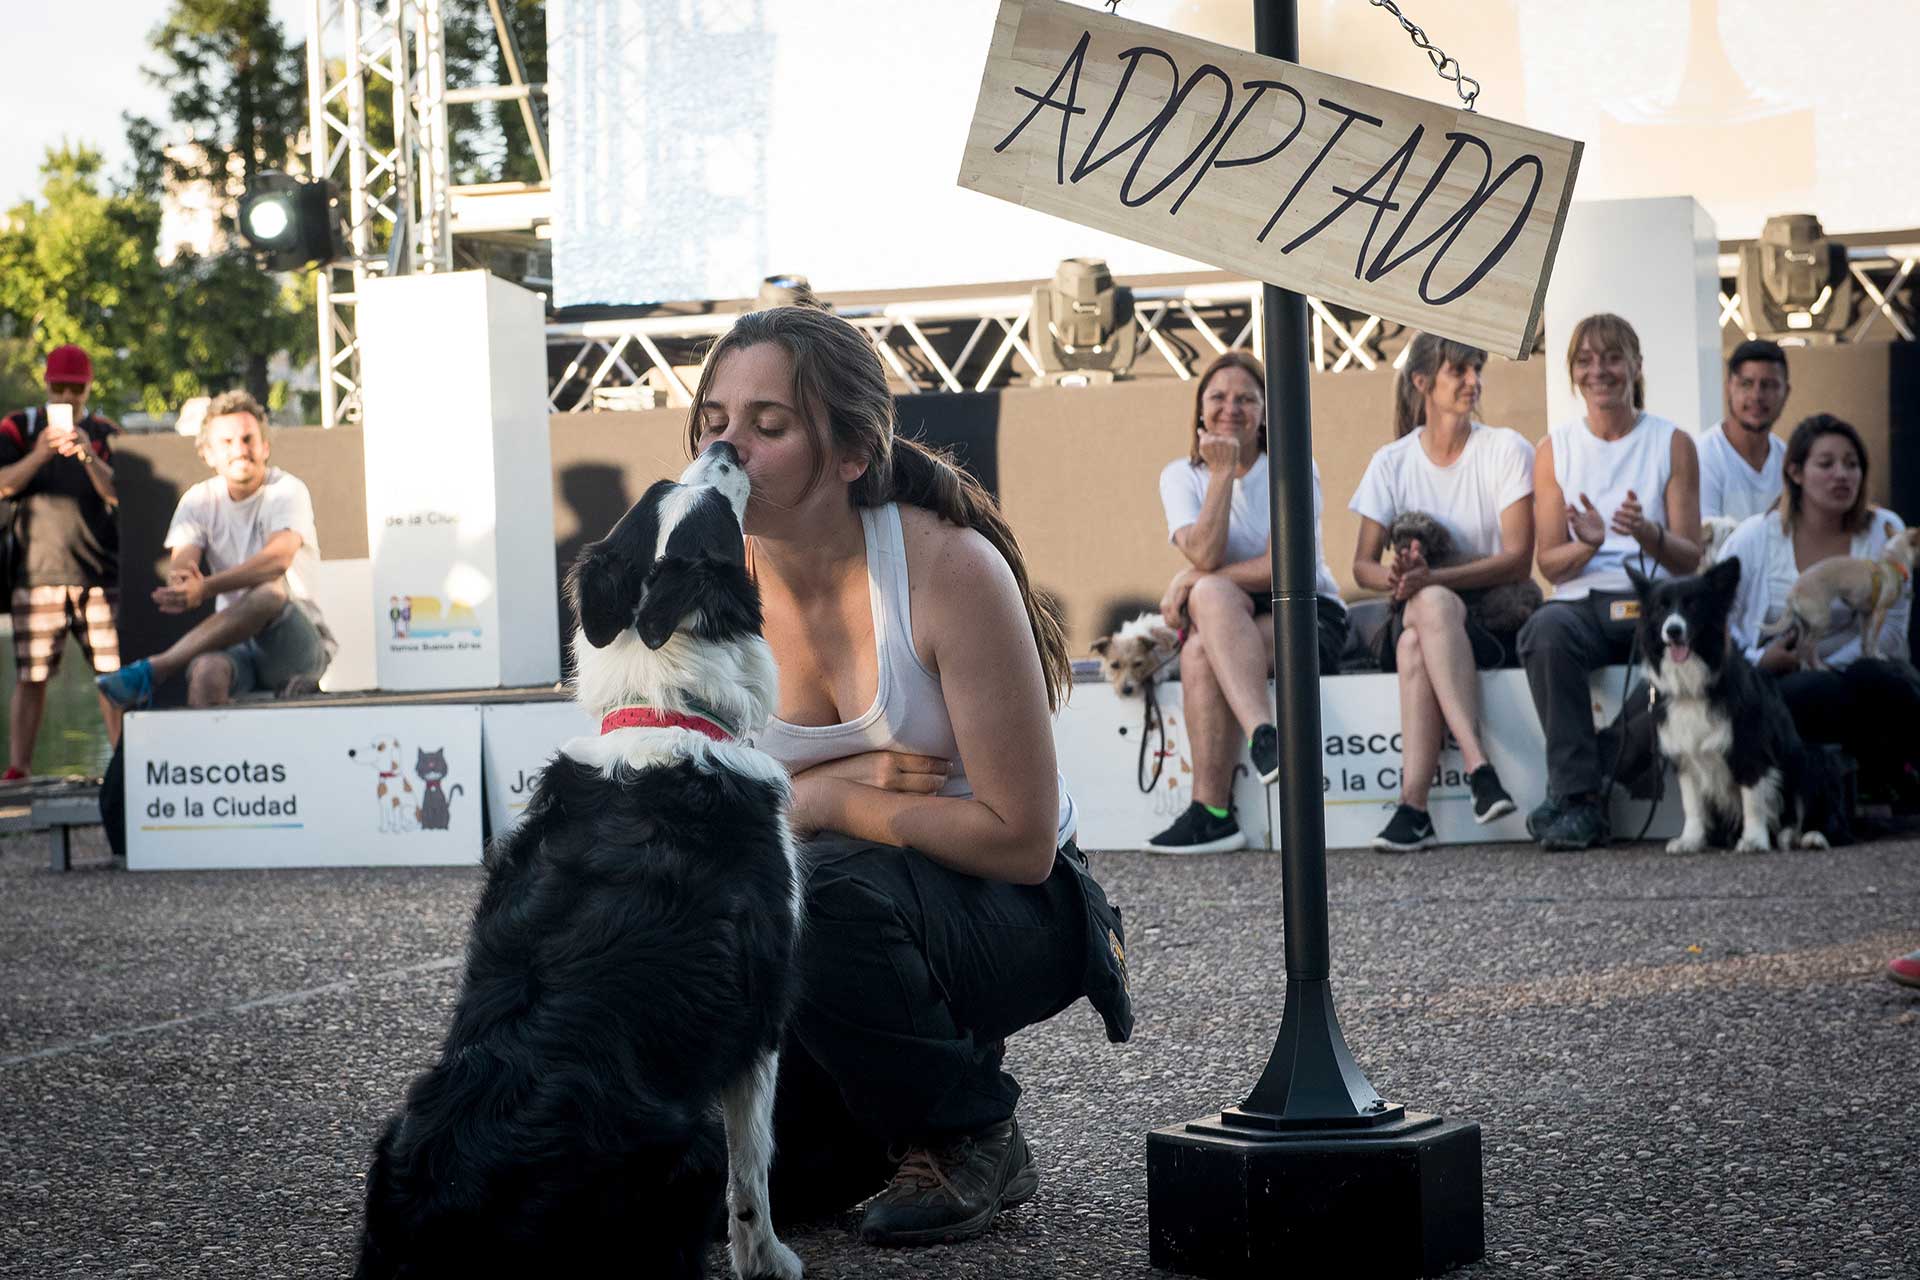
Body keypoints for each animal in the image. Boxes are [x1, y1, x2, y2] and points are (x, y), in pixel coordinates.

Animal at [357, 443, 798, 1280]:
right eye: (714, 508)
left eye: (666, 484)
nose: (726, 446)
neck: (664, 704)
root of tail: (449, 1213)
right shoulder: (758, 1013)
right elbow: (755, 1171)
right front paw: (770, 1260)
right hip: (684, 1147)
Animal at [1620, 564, 1843, 855]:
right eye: (1661, 607)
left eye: (1693, 605)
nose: (1673, 631)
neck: (1694, 687)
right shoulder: (1684, 756)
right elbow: (1692, 805)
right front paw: (1690, 840)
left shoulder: (1750, 747)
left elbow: (1752, 799)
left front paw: (1754, 840)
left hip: (1813, 759)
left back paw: (1807, 837)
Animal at [1758, 529, 1920, 675]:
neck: (1891, 562)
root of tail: (1793, 593)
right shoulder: (1880, 613)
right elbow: (1874, 638)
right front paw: (1877, 655)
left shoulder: (1866, 614)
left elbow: (1864, 639)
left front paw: (1865, 656)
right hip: (1822, 621)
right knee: (1809, 646)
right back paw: (1819, 667)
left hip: (1806, 624)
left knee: (1800, 646)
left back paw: (1805, 667)